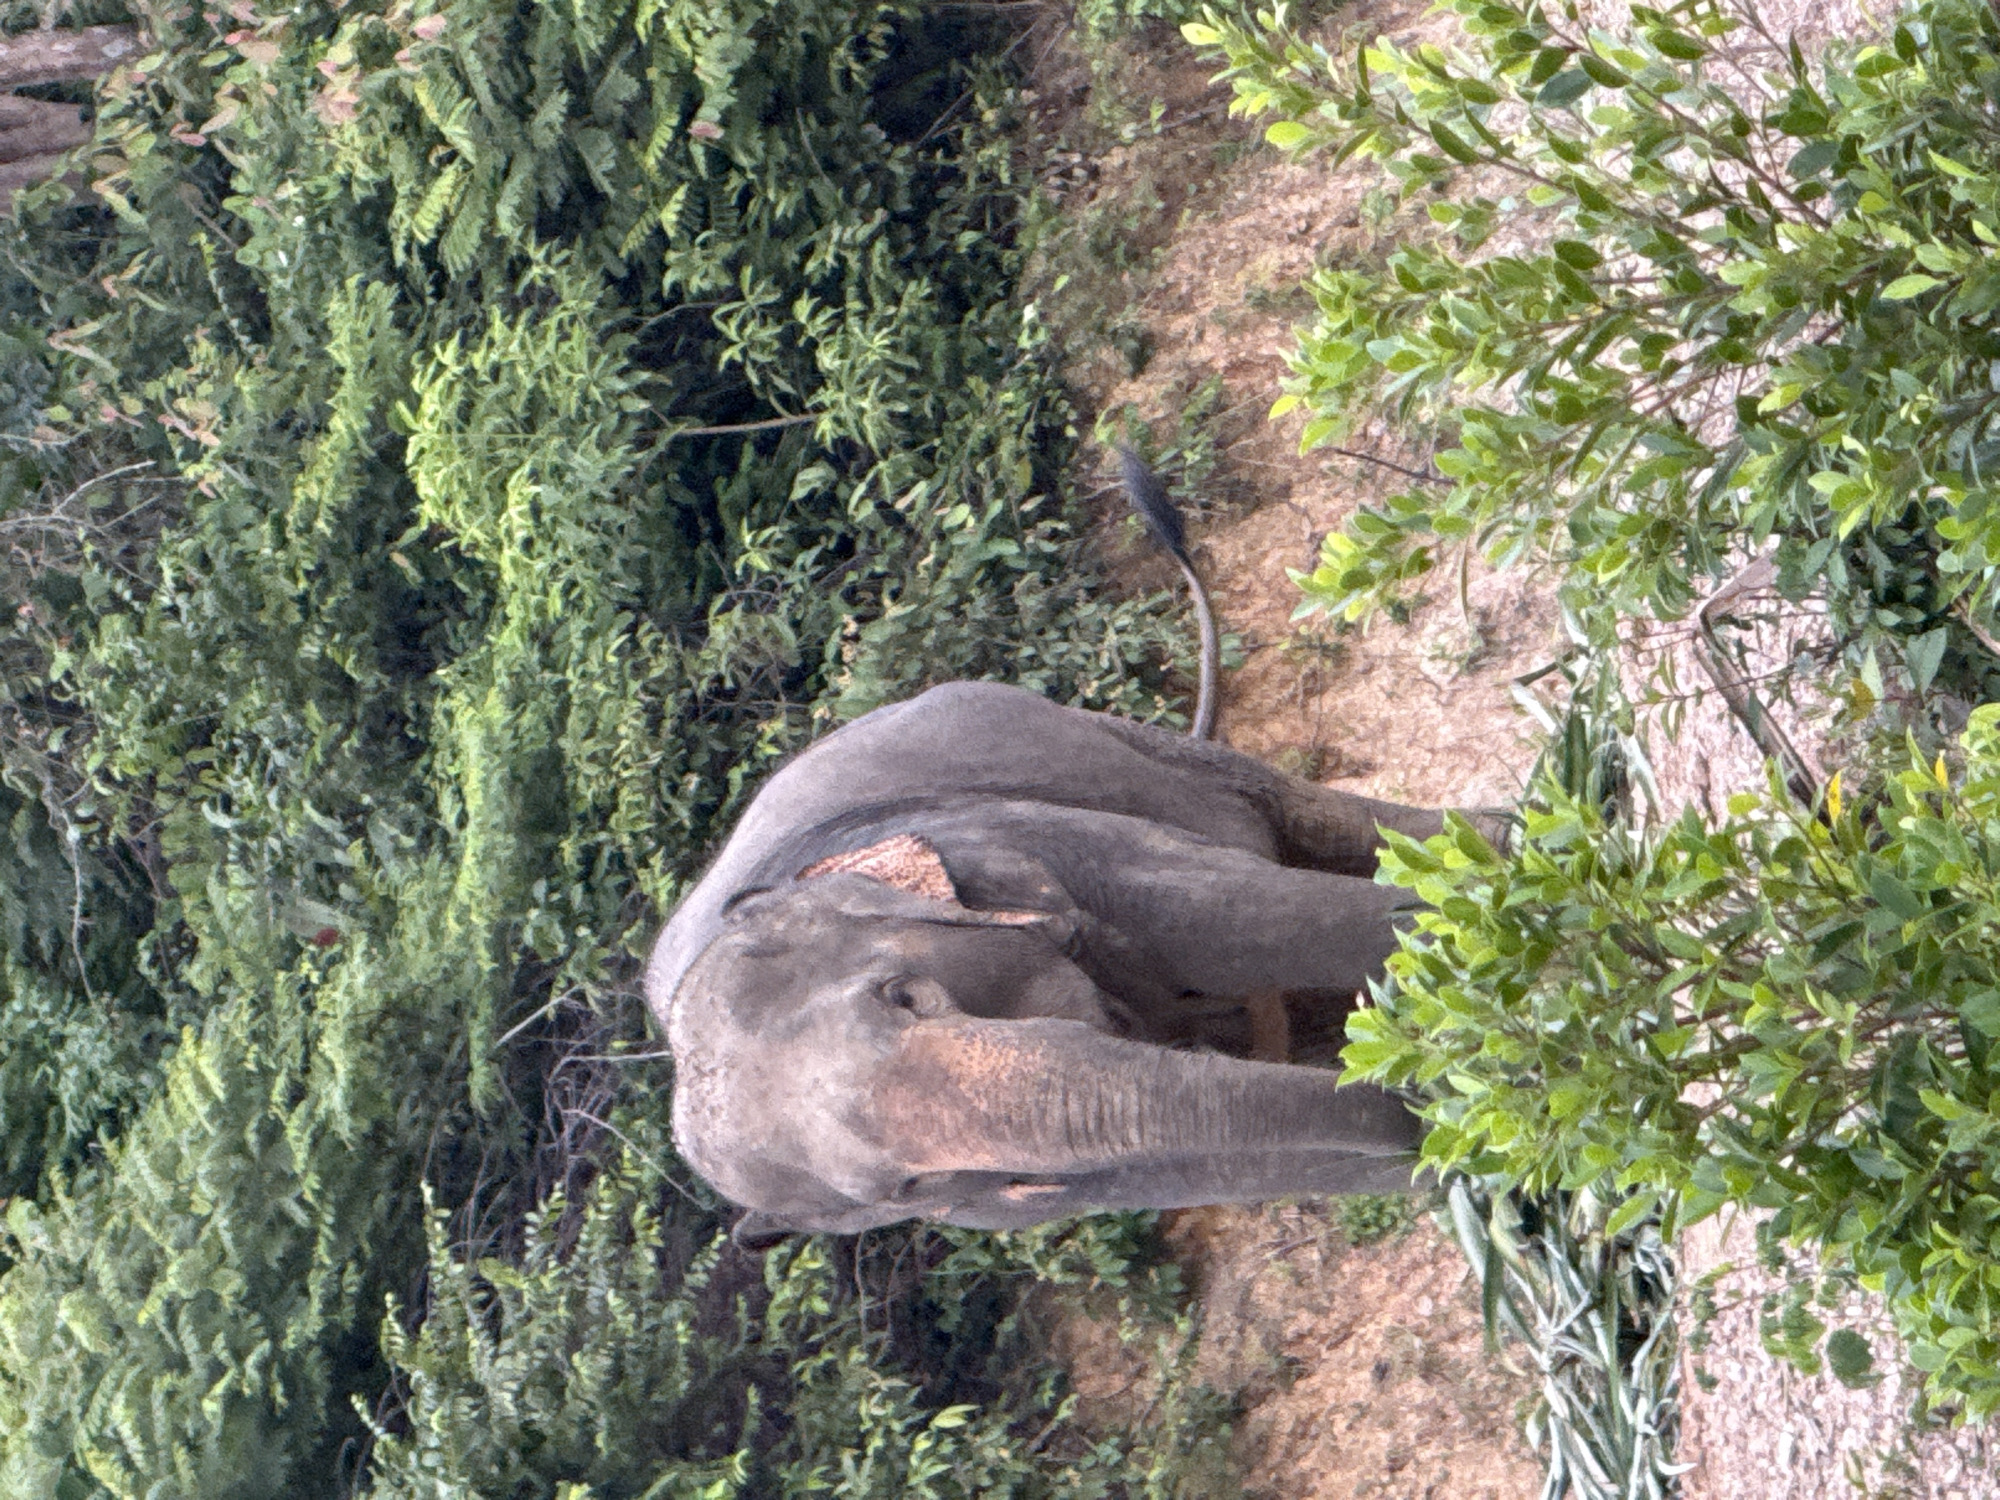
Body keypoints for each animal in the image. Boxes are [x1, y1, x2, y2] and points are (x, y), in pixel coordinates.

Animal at [647, 680, 1462, 1241]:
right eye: (903, 1193)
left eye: (904, 996)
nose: (1411, 1093)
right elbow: (1209, 1166)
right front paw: (1435, 1151)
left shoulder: (1011, 840)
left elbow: (1230, 918)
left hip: (1087, 731)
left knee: (1294, 812)